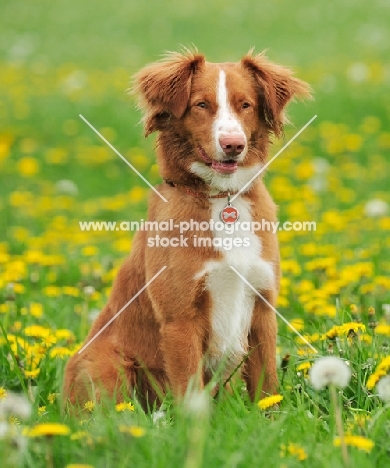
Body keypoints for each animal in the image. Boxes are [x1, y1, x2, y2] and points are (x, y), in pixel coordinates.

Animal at [62, 49, 310, 412]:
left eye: (245, 105)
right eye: (201, 105)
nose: (233, 144)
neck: (222, 198)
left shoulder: (263, 308)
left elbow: (268, 388)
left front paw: (272, 419)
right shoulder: (180, 319)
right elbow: (191, 394)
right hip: (109, 362)